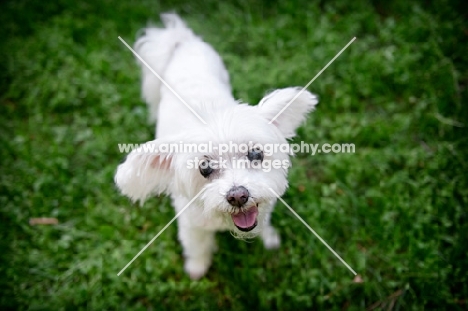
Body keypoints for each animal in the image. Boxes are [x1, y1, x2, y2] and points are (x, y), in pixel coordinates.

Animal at [115, 13, 318, 280]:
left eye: (256, 153)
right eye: (204, 168)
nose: (238, 196)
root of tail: (181, 41)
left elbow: (263, 222)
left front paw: (269, 238)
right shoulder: (191, 226)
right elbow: (197, 247)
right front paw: (197, 268)